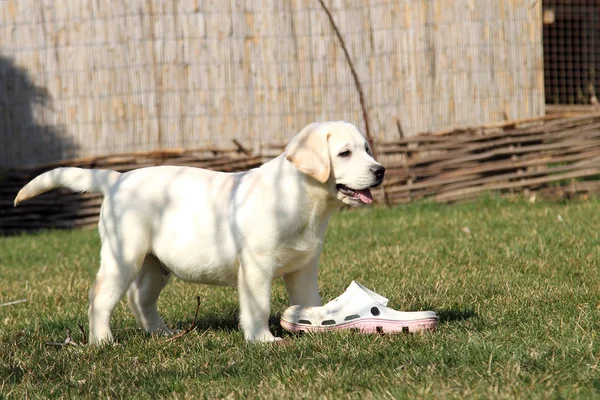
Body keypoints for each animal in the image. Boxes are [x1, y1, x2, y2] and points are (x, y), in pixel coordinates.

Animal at [17, 120, 390, 342]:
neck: (304, 200)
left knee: (140, 298)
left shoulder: (303, 267)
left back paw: (162, 333)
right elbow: (258, 306)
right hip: (123, 256)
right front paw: (264, 341)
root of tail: (117, 178)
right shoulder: (255, 267)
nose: (380, 170)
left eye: (367, 149)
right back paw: (102, 341)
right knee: (100, 297)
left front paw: (315, 326)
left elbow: (309, 301)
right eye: (344, 153)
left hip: (156, 264)